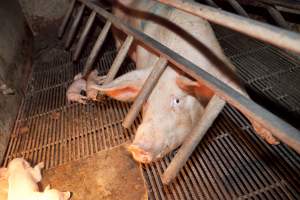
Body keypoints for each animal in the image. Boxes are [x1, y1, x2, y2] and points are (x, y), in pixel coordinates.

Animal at [91, 0, 276, 162]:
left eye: (177, 100)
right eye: (145, 101)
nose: (137, 147)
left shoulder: (223, 71)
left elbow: (243, 99)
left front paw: (272, 139)